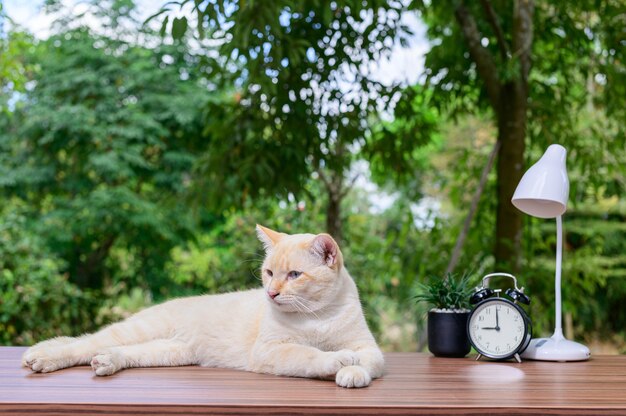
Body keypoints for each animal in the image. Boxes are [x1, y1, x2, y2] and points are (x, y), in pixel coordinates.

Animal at [22, 226, 382, 388]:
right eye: (268, 273)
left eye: (294, 275)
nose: (271, 293)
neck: (317, 316)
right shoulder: (271, 350)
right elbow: (309, 355)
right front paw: (337, 361)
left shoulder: (370, 348)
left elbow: (366, 361)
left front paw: (352, 373)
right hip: (138, 330)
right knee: (81, 343)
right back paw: (41, 357)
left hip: (170, 352)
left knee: (111, 350)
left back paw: (107, 362)